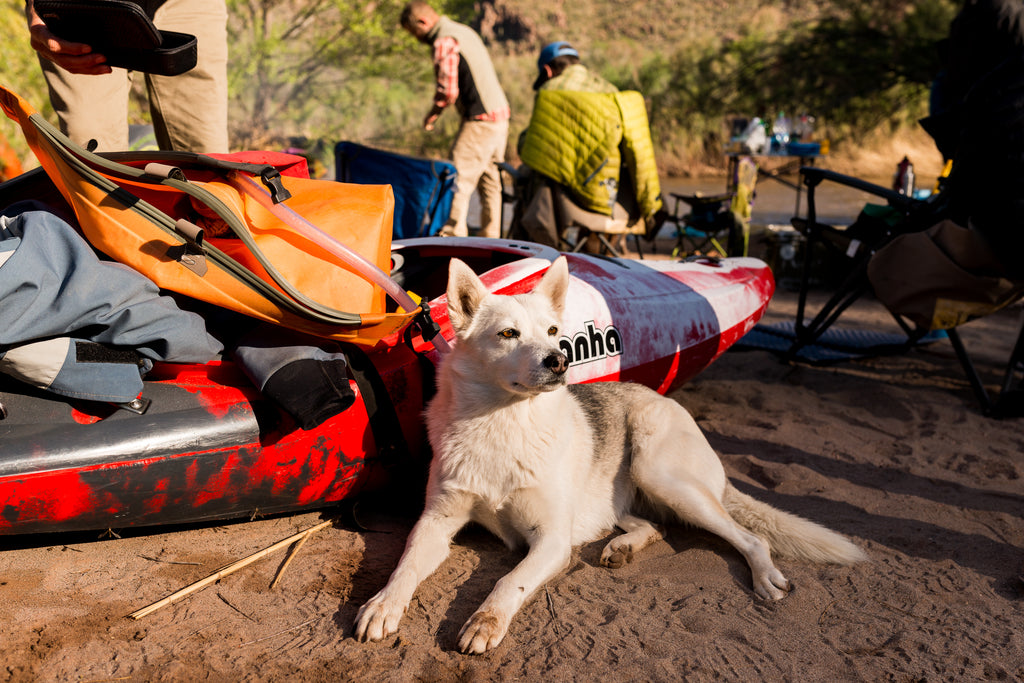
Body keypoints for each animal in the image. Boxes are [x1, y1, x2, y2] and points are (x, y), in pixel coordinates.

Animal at [356, 259, 868, 655]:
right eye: (508, 333)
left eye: (553, 332)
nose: (559, 360)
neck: (502, 423)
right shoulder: (436, 522)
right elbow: (405, 564)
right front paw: (383, 604)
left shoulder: (551, 540)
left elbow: (508, 581)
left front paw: (486, 621)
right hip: (624, 497)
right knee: (652, 525)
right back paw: (623, 547)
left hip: (660, 473)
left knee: (752, 538)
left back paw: (764, 578)